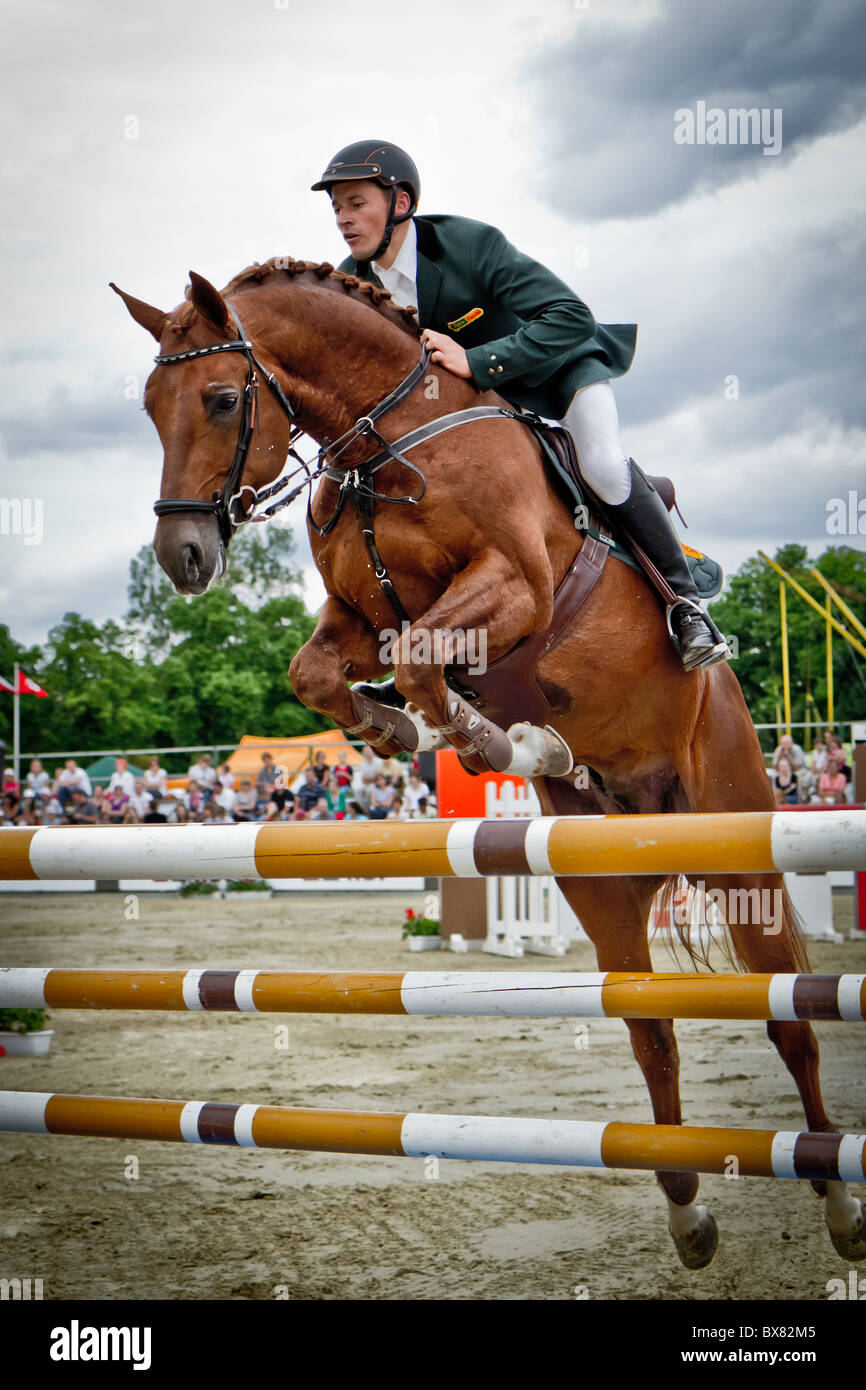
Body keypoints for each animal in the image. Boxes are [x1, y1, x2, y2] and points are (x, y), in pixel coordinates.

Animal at [111, 255, 861, 1267]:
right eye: (152, 408)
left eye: (224, 399)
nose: (183, 556)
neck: (384, 440)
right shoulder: (361, 617)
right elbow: (329, 671)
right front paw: (416, 733)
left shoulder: (514, 584)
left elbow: (425, 661)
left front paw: (488, 737)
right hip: (601, 883)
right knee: (651, 1029)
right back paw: (687, 1213)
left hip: (741, 848)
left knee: (791, 1021)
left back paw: (838, 1205)